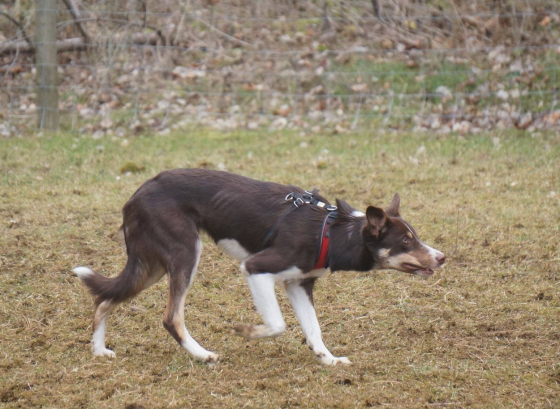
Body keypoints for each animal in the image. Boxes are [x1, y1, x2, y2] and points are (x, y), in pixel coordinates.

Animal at [74, 167, 444, 364]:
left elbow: (314, 329)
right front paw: (248, 332)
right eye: (406, 242)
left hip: (151, 266)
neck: (331, 230)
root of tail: (136, 194)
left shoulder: (298, 284)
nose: (441, 257)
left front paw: (328, 360)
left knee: (104, 299)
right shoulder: (256, 268)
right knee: (171, 317)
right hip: (184, 254)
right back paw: (202, 355)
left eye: (415, 237)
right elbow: (278, 324)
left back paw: (98, 350)